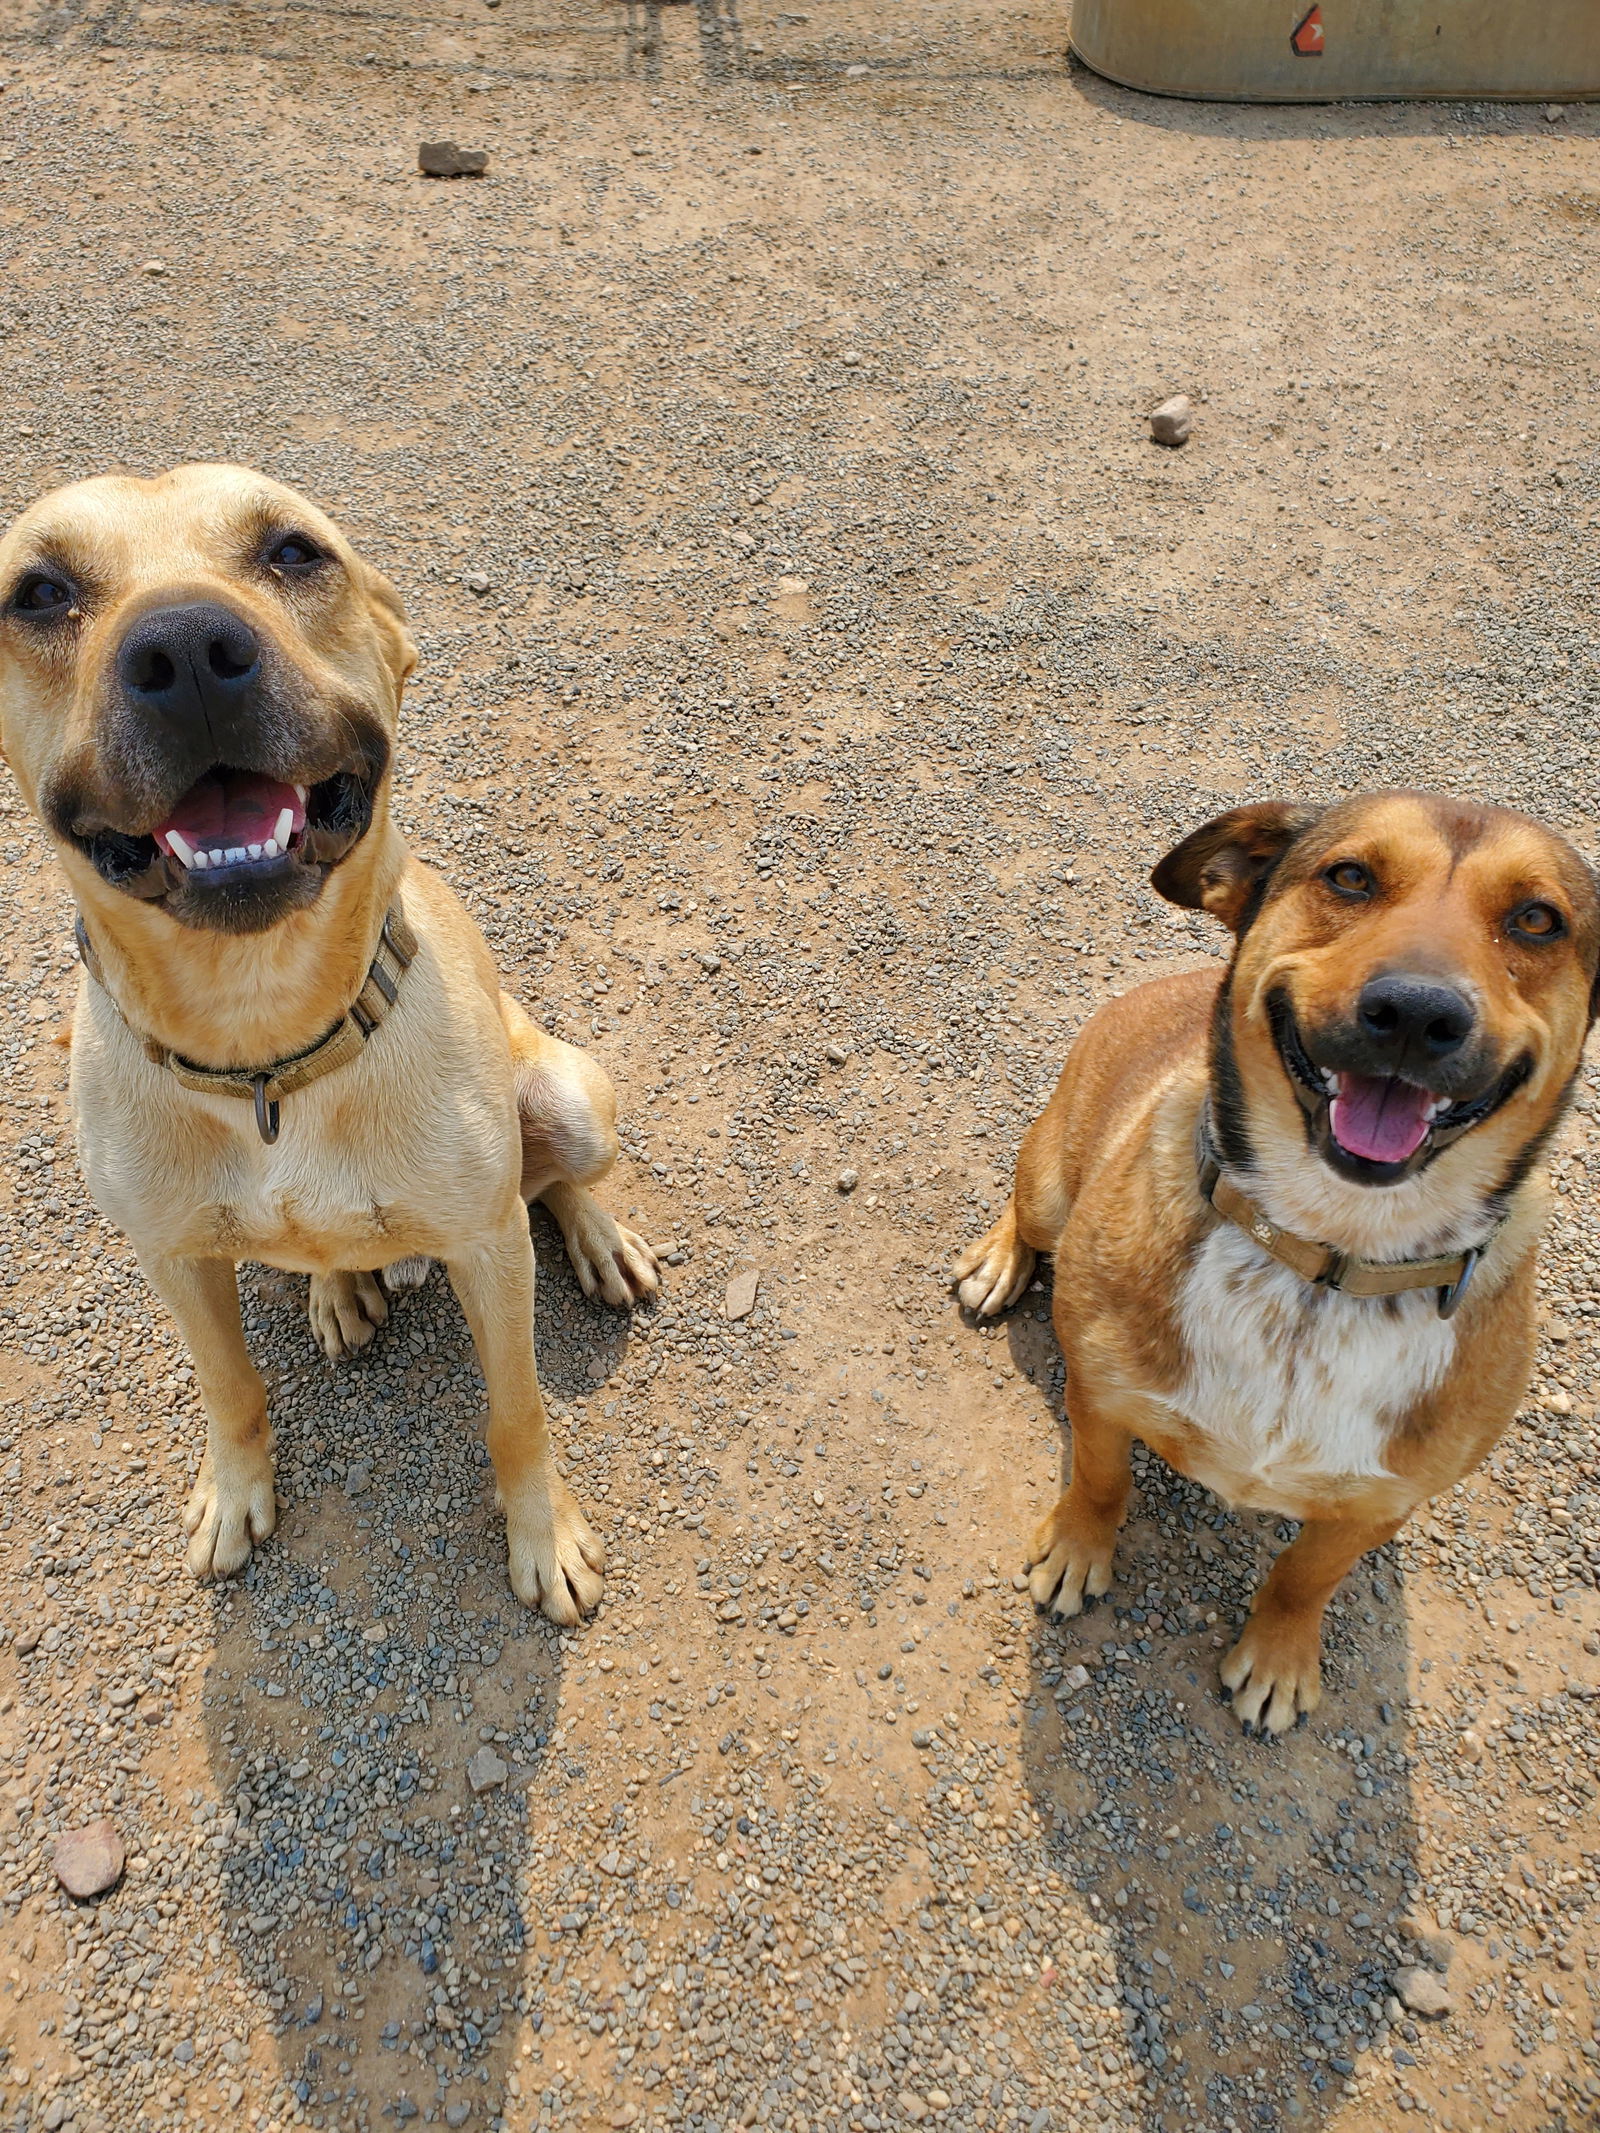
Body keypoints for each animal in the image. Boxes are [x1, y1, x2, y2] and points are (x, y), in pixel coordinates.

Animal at [0, 467, 665, 1621]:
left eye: (295, 552)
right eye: (38, 592)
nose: (184, 651)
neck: (265, 1039)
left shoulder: (489, 1249)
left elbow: (519, 1411)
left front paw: (546, 1539)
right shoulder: (172, 1256)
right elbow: (229, 1387)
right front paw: (234, 1492)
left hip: (574, 1098)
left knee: (552, 1179)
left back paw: (598, 1238)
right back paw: (342, 1288)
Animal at [960, 793, 1595, 1723]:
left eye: (1538, 919)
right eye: (1350, 875)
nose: (1416, 1013)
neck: (1322, 1257)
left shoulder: (1383, 1499)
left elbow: (1307, 1575)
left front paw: (1278, 1656)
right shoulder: (1102, 1399)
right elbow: (1100, 1485)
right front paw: (1076, 1551)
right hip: (1046, 1182)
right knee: (1024, 1209)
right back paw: (996, 1263)